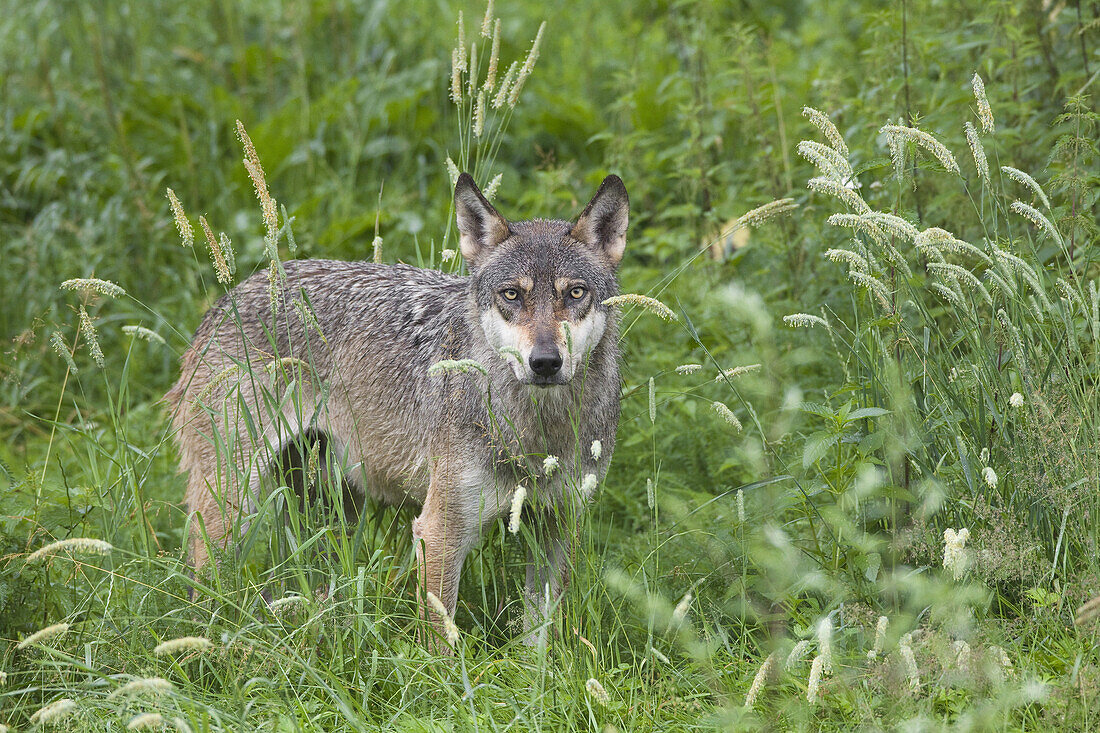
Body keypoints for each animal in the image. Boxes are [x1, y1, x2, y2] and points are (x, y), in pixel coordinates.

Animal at [162, 169, 629, 638]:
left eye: (575, 293)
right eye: (512, 295)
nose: (545, 362)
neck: (537, 430)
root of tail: (232, 294)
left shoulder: (558, 527)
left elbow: (539, 636)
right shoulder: (439, 533)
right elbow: (440, 640)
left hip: (331, 507)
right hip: (233, 507)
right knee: (205, 585)